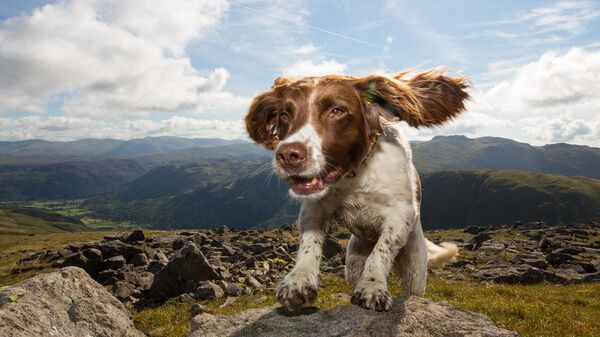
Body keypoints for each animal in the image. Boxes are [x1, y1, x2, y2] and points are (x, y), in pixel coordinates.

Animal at [244, 67, 468, 310]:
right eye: (285, 115)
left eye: (337, 111)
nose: (287, 155)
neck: (355, 174)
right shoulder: (315, 207)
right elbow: (309, 244)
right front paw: (299, 282)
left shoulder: (401, 214)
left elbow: (381, 250)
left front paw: (372, 287)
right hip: (352, 262)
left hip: (415, 269)